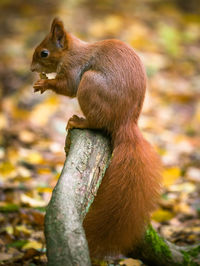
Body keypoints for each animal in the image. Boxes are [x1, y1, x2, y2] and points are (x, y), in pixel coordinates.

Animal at [31, 17, 162, 258]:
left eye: (44, 53)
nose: (31, 68)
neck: (70, 51)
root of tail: (124, 122)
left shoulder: (74, 68)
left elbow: (68, 87)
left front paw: (45, 83)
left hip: (90, 84)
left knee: (97, 122)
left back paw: (79, 121)